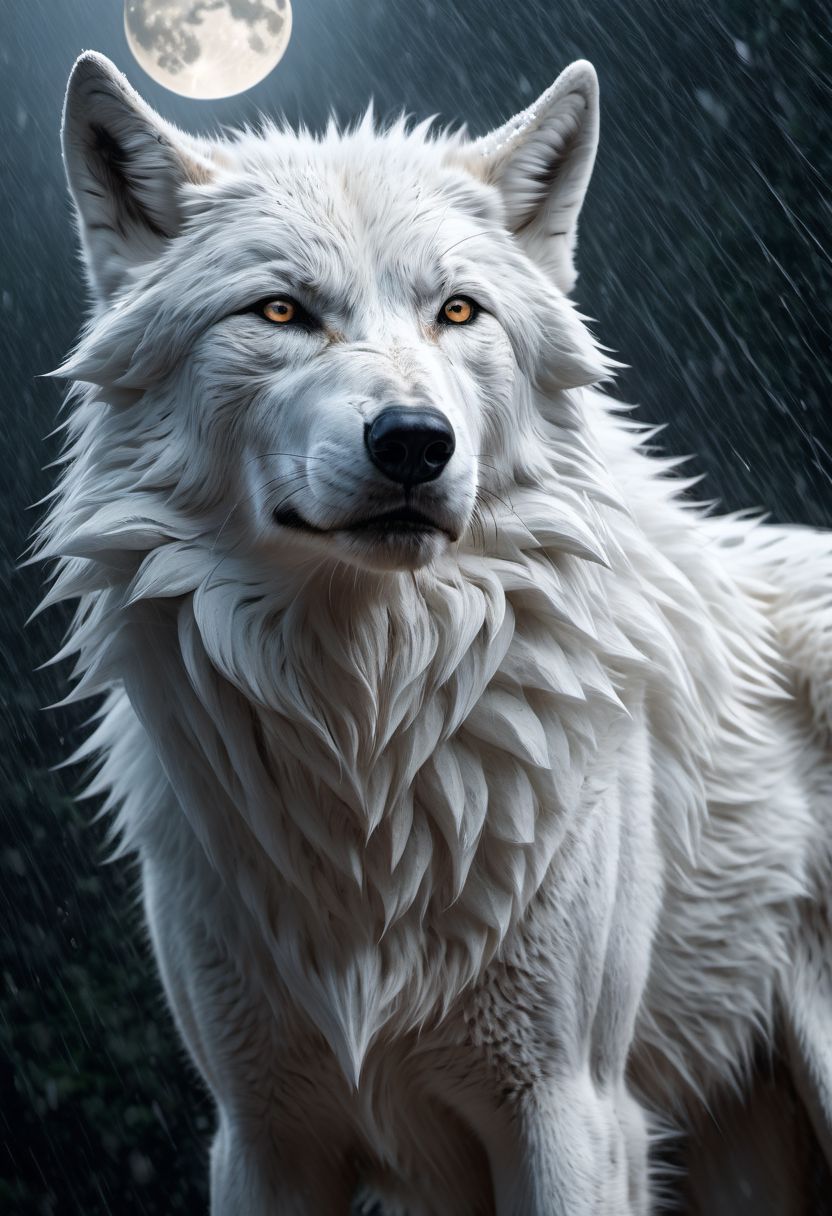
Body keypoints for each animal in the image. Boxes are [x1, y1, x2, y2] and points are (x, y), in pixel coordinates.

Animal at [39, 49, 831, 1213]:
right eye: (281, 310)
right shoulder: (263, 1135)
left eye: (458, 310)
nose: (415, 441)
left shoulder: (570, 1109)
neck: (371, 731)